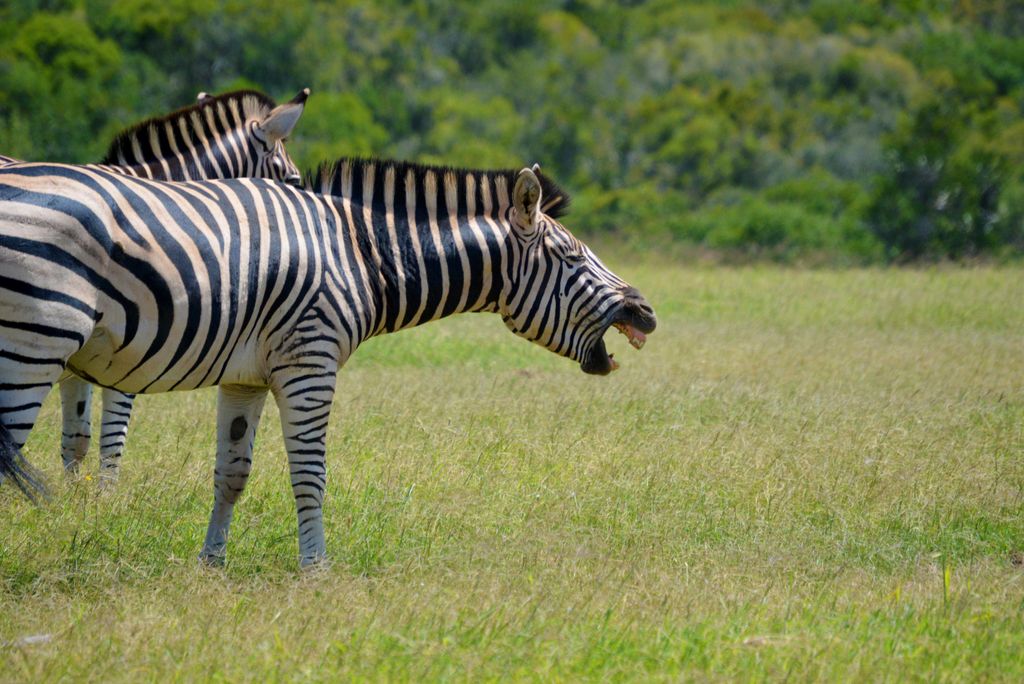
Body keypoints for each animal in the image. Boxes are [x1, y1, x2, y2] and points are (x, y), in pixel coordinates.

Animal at [0, 158, 657, 567]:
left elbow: (231, 474)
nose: (646, 312)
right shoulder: (309, 363)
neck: (361, 254)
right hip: (34, 341)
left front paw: (210, 564)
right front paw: (316, 568)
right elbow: (309, 474)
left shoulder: (245, 376)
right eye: (571, 257)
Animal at [1, 88, 309, 485]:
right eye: (294, 182)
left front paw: (73, 497)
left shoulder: (77, 358)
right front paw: (104, 496)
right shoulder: (124, 348)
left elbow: (77, 437)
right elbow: (112, 438)